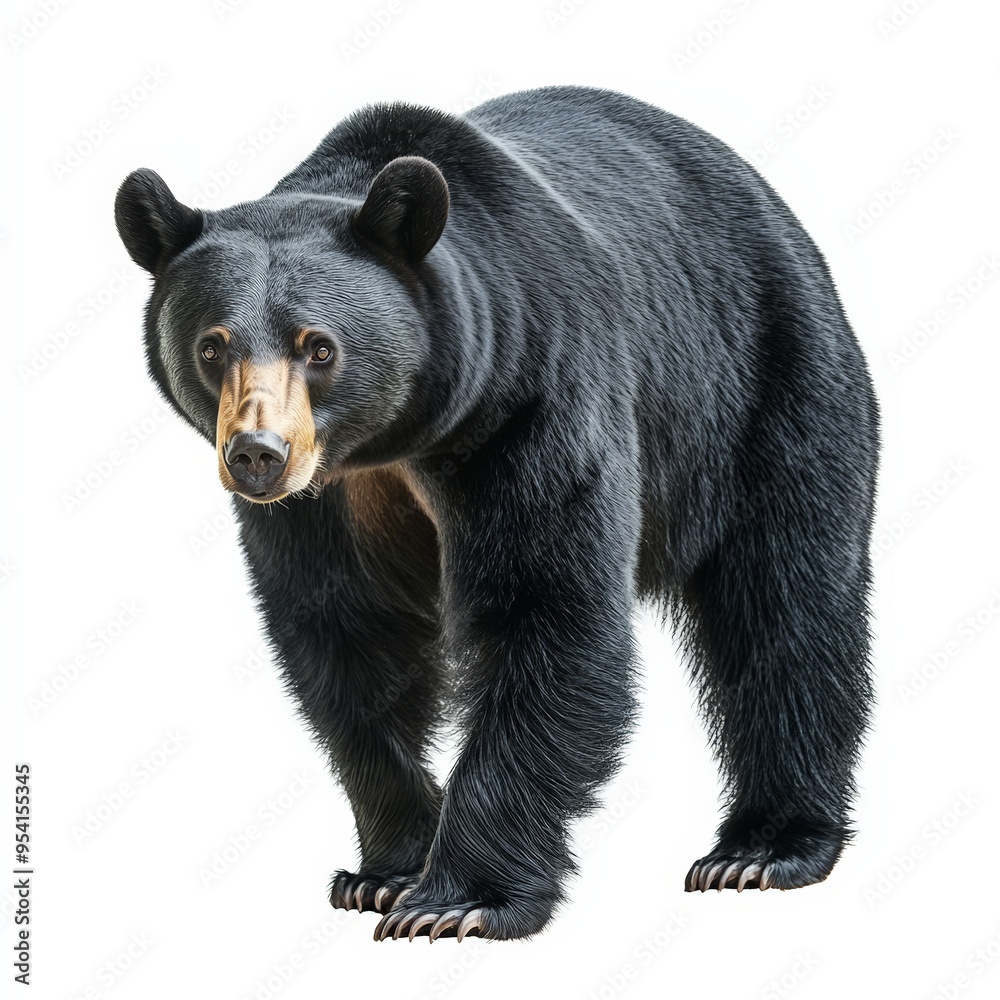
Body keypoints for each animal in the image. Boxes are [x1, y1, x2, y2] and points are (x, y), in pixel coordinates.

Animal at [115, 85, 879, 942]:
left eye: (319, 347)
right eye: (212, 346)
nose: (258, 454)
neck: (399, 440)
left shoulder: (530, 406)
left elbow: (543, 610)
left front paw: (456, 900)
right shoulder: (327, 501)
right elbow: (348, 635)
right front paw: (385, 870)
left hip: (761, 386)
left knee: (785, 603)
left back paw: (762, 849)